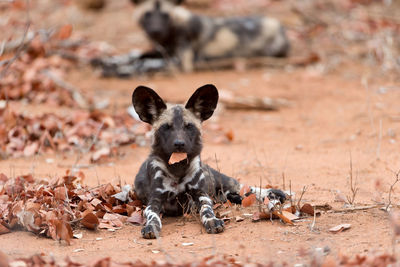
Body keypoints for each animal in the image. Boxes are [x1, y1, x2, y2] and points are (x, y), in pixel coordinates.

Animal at [131, 0, 290, 72]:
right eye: (147, 14)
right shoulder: (164, 51)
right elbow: (141, 56)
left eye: (165, 15)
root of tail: (280, 25)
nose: (156, 31)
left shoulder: (182, 63)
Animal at [133, 85, 286, 240]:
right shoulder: (155, 200)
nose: (179, 143)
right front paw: (151, 226)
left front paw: (212, 221)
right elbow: (152, 214)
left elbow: (206, 209)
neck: (178, 168)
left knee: (244, 187)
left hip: (222, 180)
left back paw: (275, 194)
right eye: (166, 127)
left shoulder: (201, 194)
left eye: (189, 126)